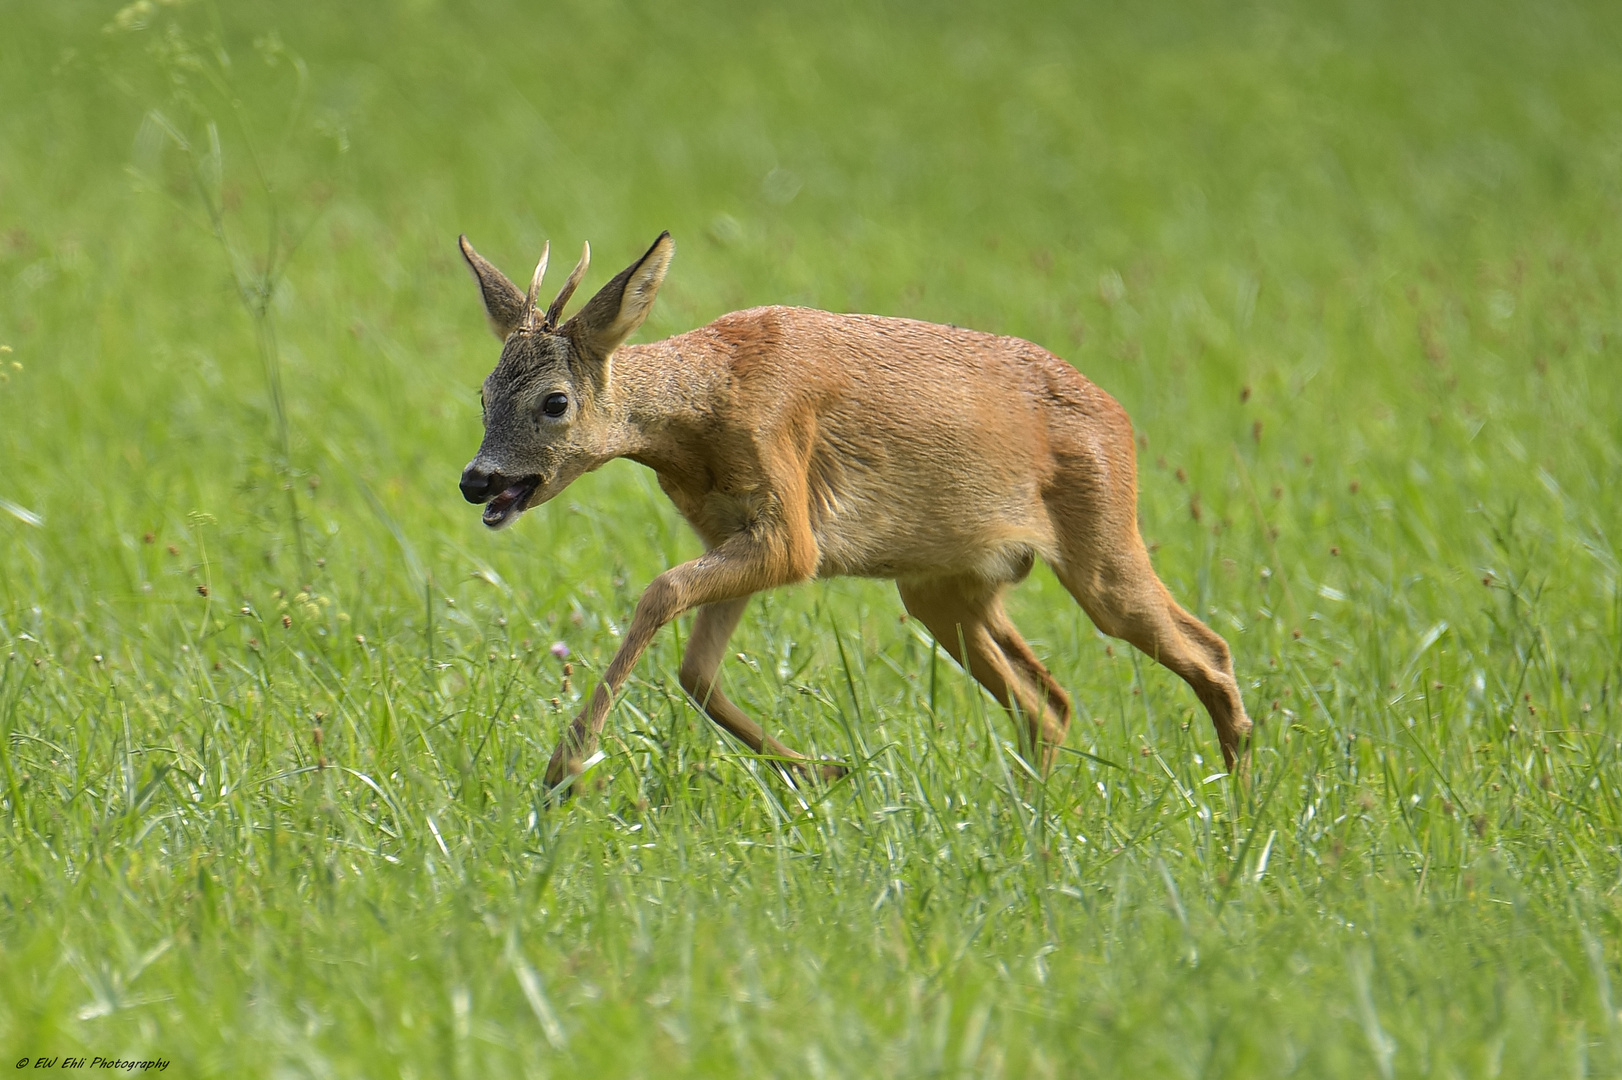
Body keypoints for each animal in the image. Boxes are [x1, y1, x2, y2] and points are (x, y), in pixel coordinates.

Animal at [460, 231, 1252, 788]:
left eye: (554, 401)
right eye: (484, 392)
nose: (476, 480)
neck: (705, 409)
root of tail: (1118, 416)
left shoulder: (790, 529)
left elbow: (661, 592)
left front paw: (565, 767)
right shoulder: (732, 528)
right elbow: (696, 671)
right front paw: (823, 771)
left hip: (1102, 545)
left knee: (1207, 650)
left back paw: (1240, 808)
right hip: (947, 588)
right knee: (1048, 702)